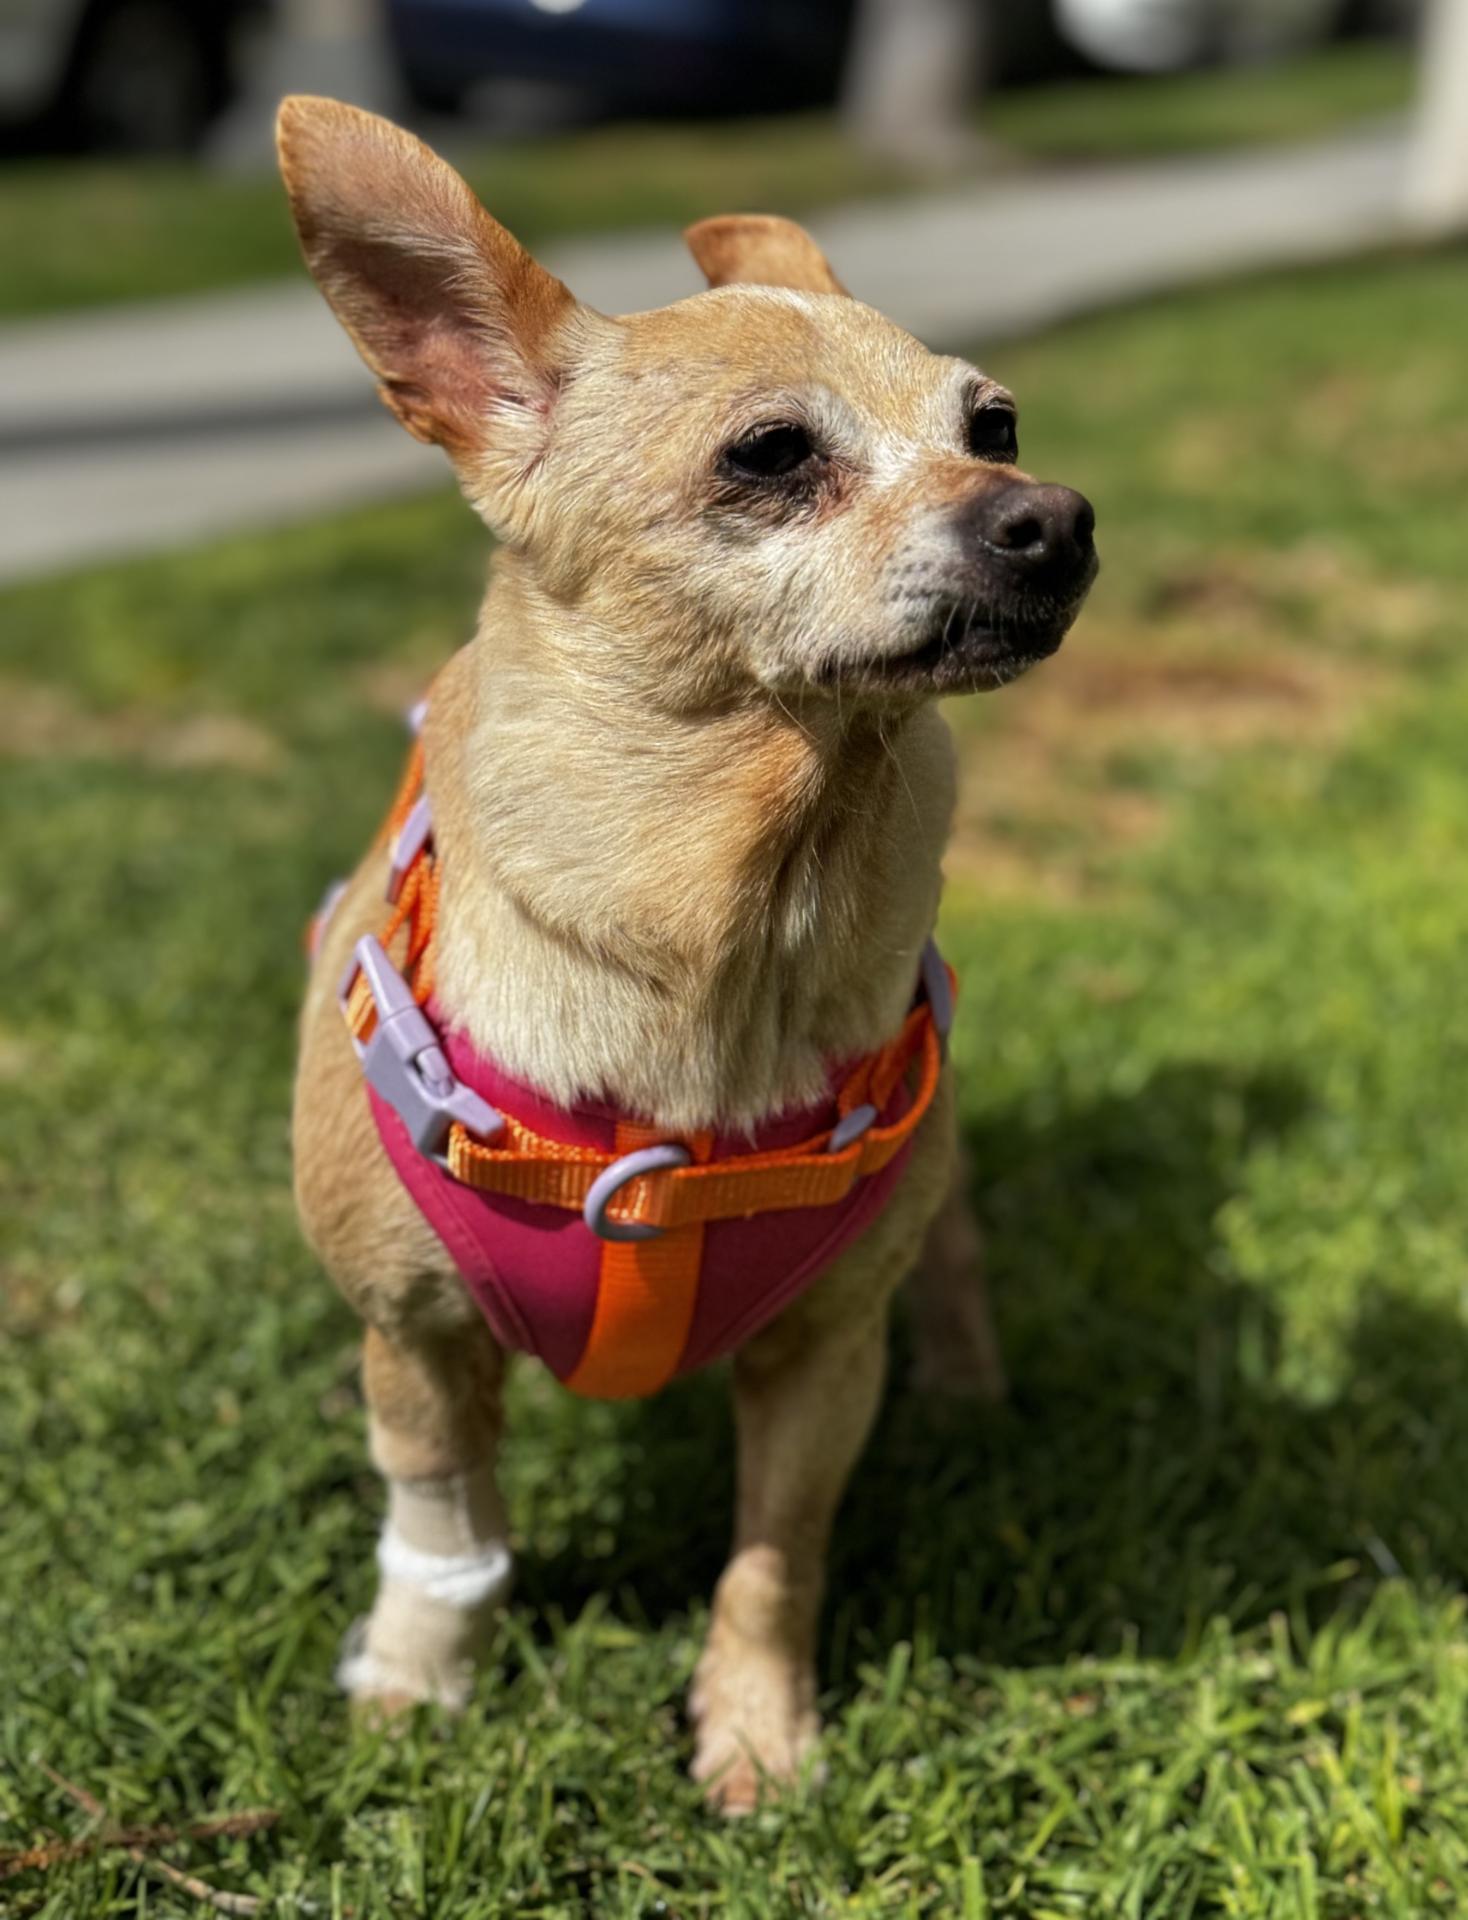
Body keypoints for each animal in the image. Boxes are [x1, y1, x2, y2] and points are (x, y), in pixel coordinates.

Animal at [280, 101, 1097, 1812]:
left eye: (994, 426)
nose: (1056, 515)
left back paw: (971, 1389)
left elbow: (774, 1556)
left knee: (953, 1253)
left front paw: (758, 1733)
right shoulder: (416, 1344)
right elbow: (442, 1522)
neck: (732, 930)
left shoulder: (822, 1361)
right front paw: (417, 1681)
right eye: (772, 456)